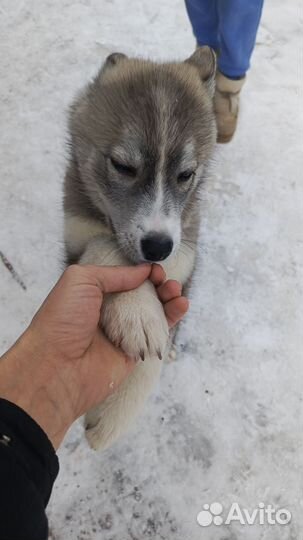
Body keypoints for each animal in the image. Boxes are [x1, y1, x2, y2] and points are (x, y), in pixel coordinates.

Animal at [63, 47, 216, 452]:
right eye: (122, 166)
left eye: (186, 175)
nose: (158, 247)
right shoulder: (76, 237)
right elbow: (105, 247)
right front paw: (137, 311)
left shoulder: (185, 248)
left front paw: (115, 413)